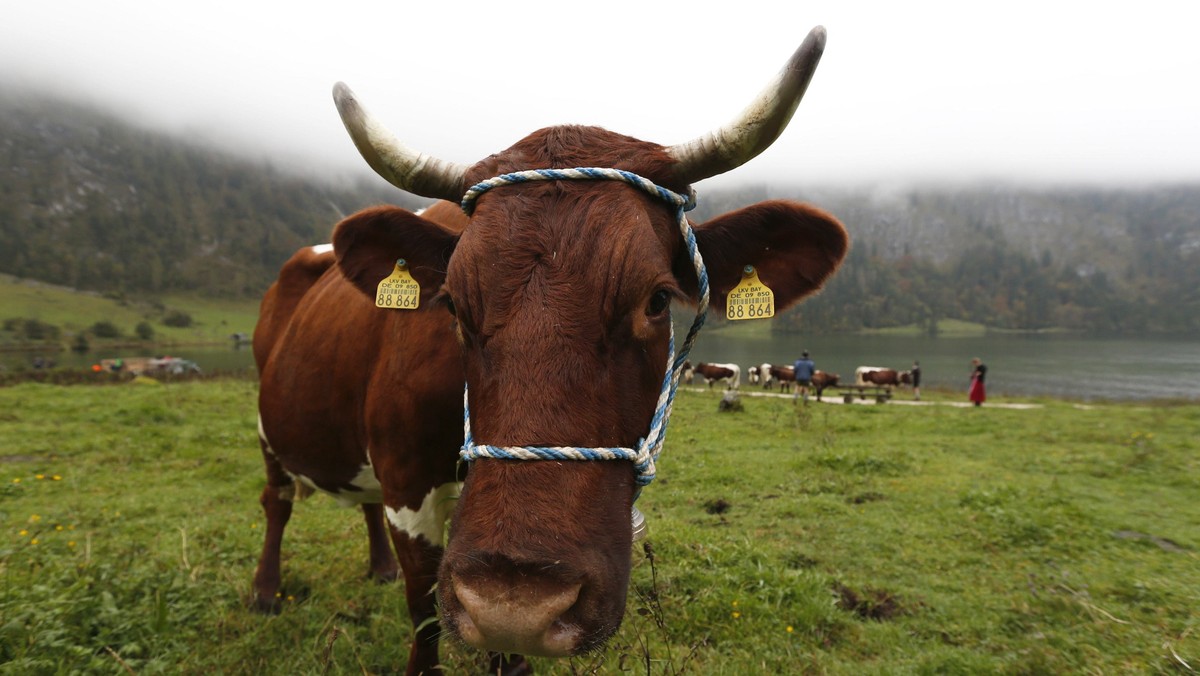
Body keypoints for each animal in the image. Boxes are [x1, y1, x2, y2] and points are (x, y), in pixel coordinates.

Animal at [255, 23, 844, 672]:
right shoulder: (407, 488)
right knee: (275, 500)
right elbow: (425, 614)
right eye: (453, 304)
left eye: (658, 299)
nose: (515, 605)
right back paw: (265, 591)